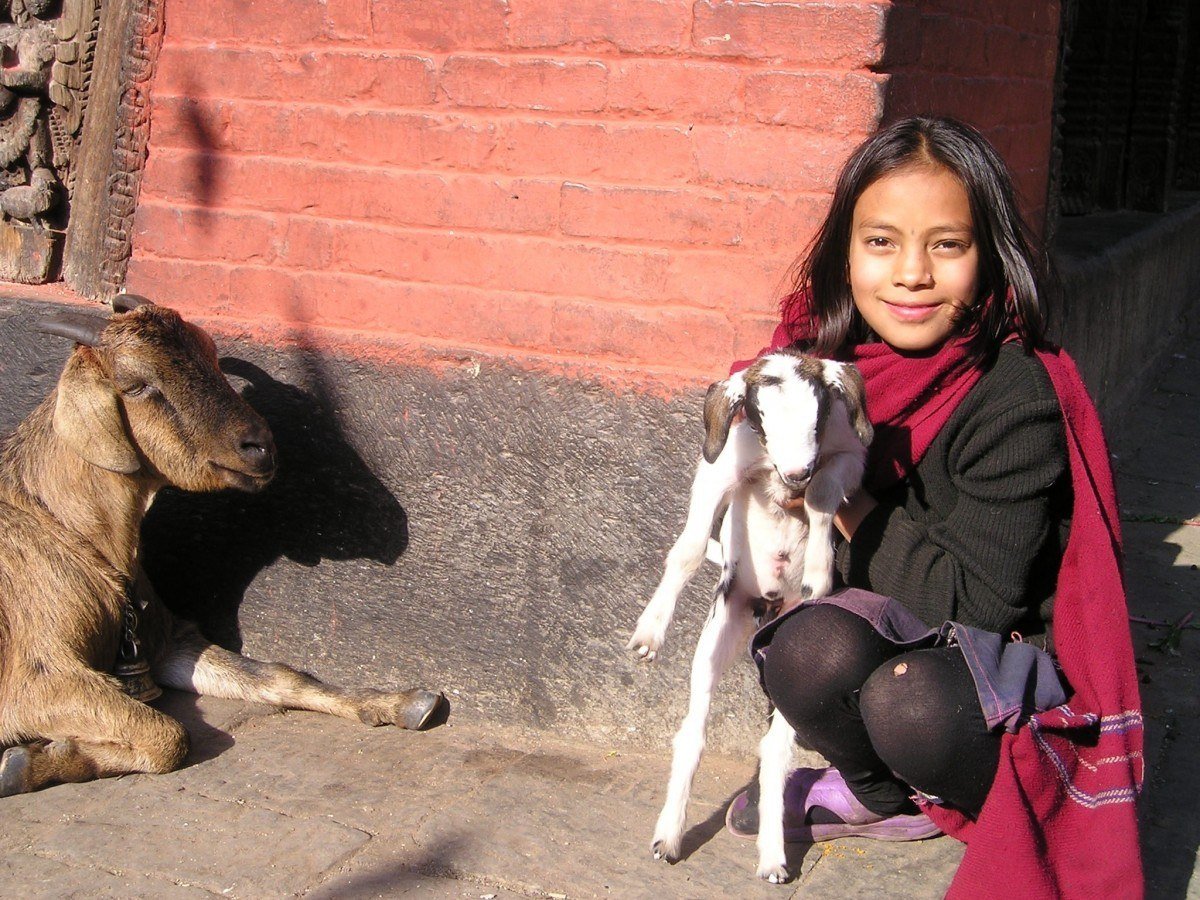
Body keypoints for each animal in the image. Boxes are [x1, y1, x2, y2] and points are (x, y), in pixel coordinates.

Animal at [0, 296, 446, 796]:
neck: (62, 523)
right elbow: (167, 735)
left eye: (211, 357)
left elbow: (279, 675)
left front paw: (399, 702)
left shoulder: (167, 642)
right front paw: (26, 762)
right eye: (136, 385)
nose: (259, 446)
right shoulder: (33, 679)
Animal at [628, 348, 873, 883]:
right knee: (693, 733)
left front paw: (820, 568)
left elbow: (823, 495)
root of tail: (769, 607)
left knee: (776, 751)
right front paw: (650, 632)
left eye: (817, 418)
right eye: (762, 417)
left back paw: (773, 855)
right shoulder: (719, 470)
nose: (797, 471)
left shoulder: (848, 456)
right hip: (718, 635)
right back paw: (669, 834)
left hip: (784, 658)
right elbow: (689, 547)